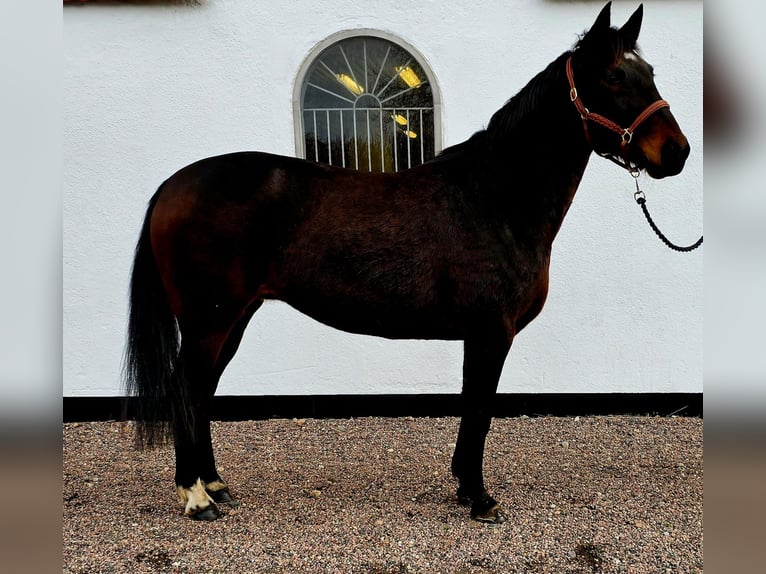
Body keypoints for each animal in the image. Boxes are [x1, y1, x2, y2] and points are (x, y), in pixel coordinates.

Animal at [124, 3, 688, 528]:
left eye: (650, 72)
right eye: (614, 77)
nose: (678, 152)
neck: (495, 197)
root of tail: (172, 186)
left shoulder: (482, 333)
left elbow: (473, 408)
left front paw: (465, 488)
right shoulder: (491, 331)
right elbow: (479, 410)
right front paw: (479, 498)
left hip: (234, 318)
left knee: (200, 393)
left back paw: (216, 487)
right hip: (210, 320)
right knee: (186, 389)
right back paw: (196, 498)